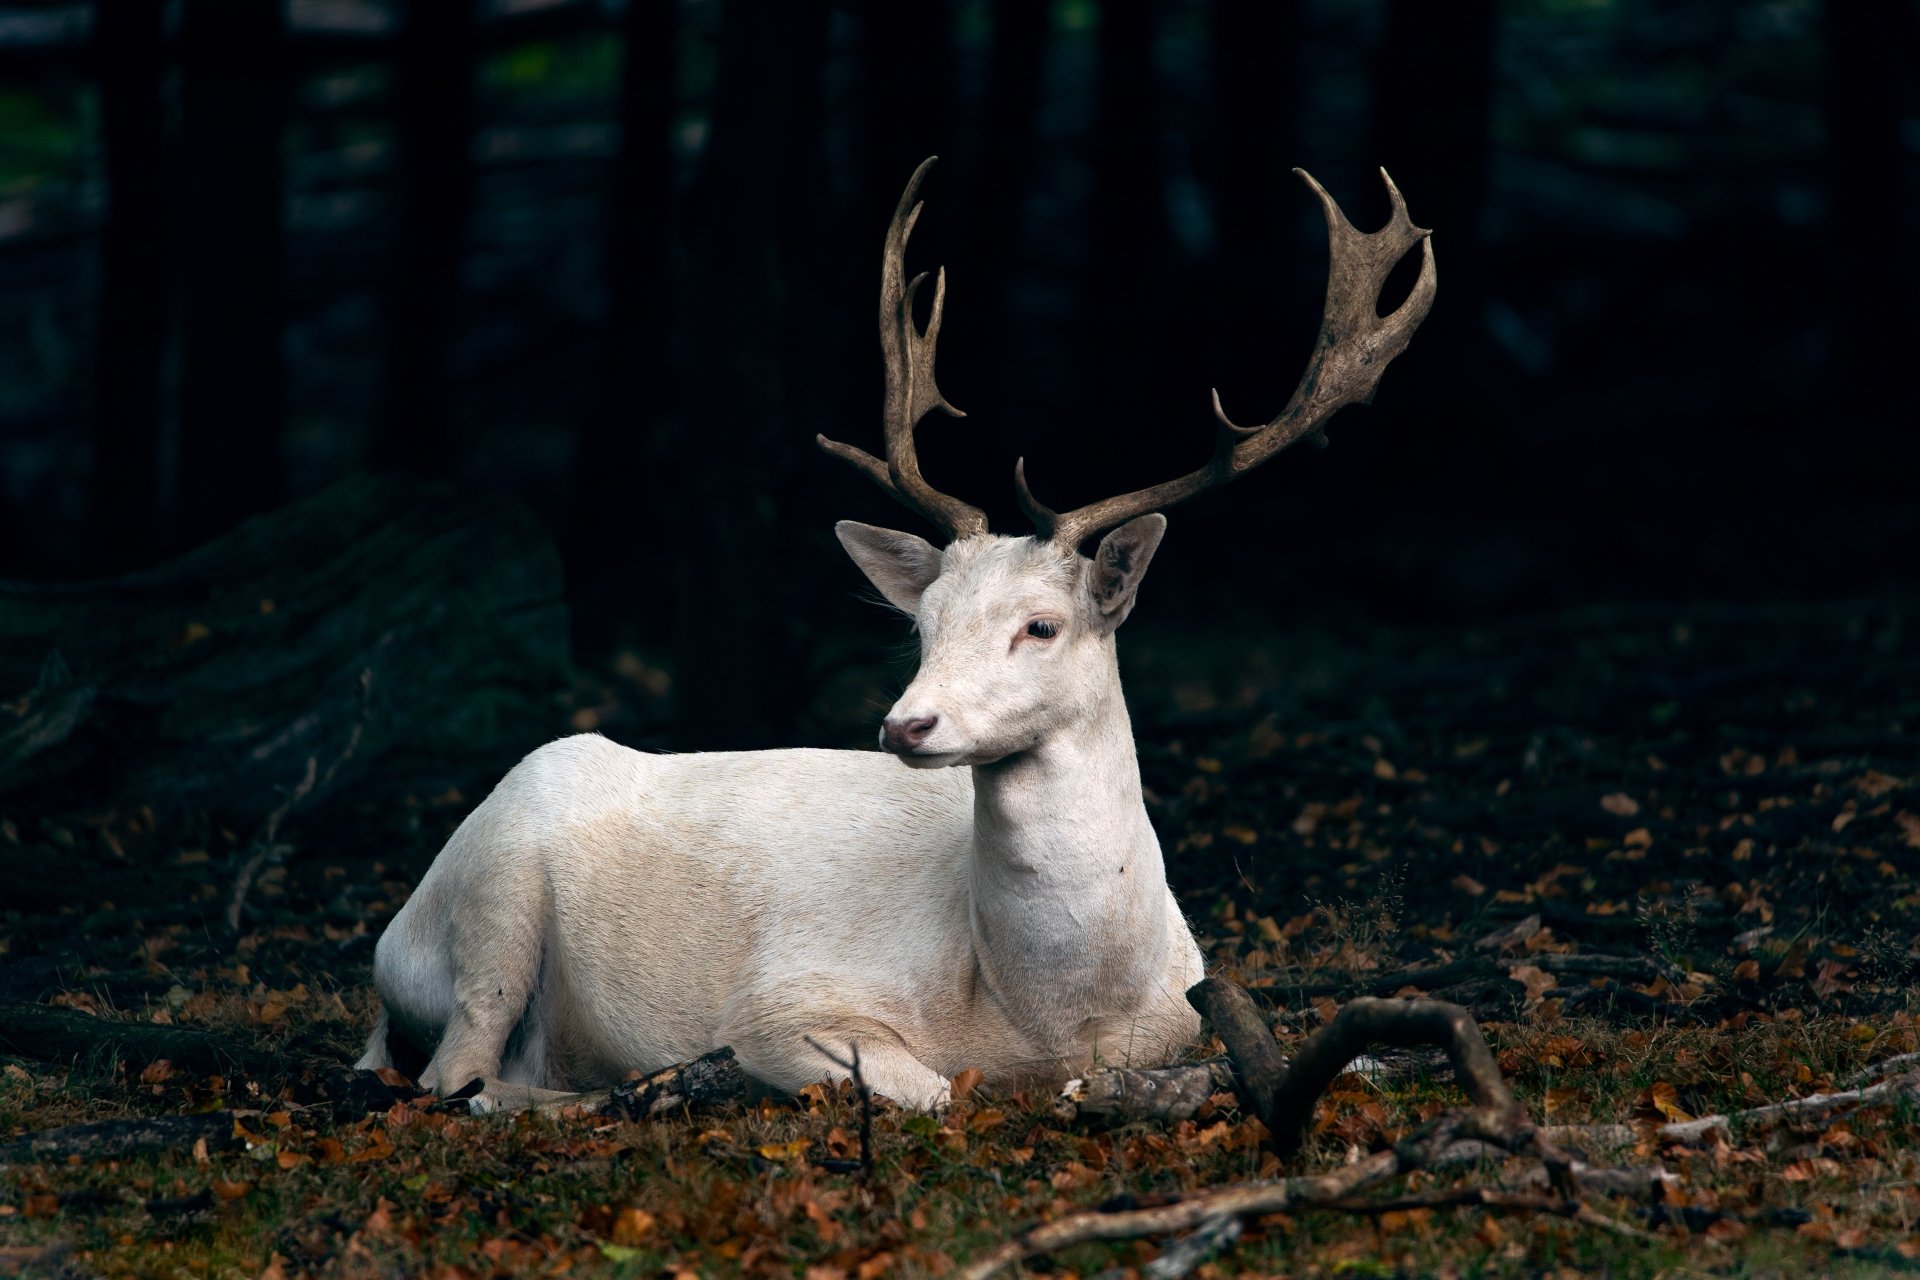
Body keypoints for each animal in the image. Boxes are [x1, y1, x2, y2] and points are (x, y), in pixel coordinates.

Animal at [358, 158, 1435, 1114]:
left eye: (1040, 624)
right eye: (922, 623)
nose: (904, 726)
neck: (1051, 1010)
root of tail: (391, 936)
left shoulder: (1183, 1009)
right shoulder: (779, 1002)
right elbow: (939, 1092)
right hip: (489, 902)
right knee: (452, 1079)